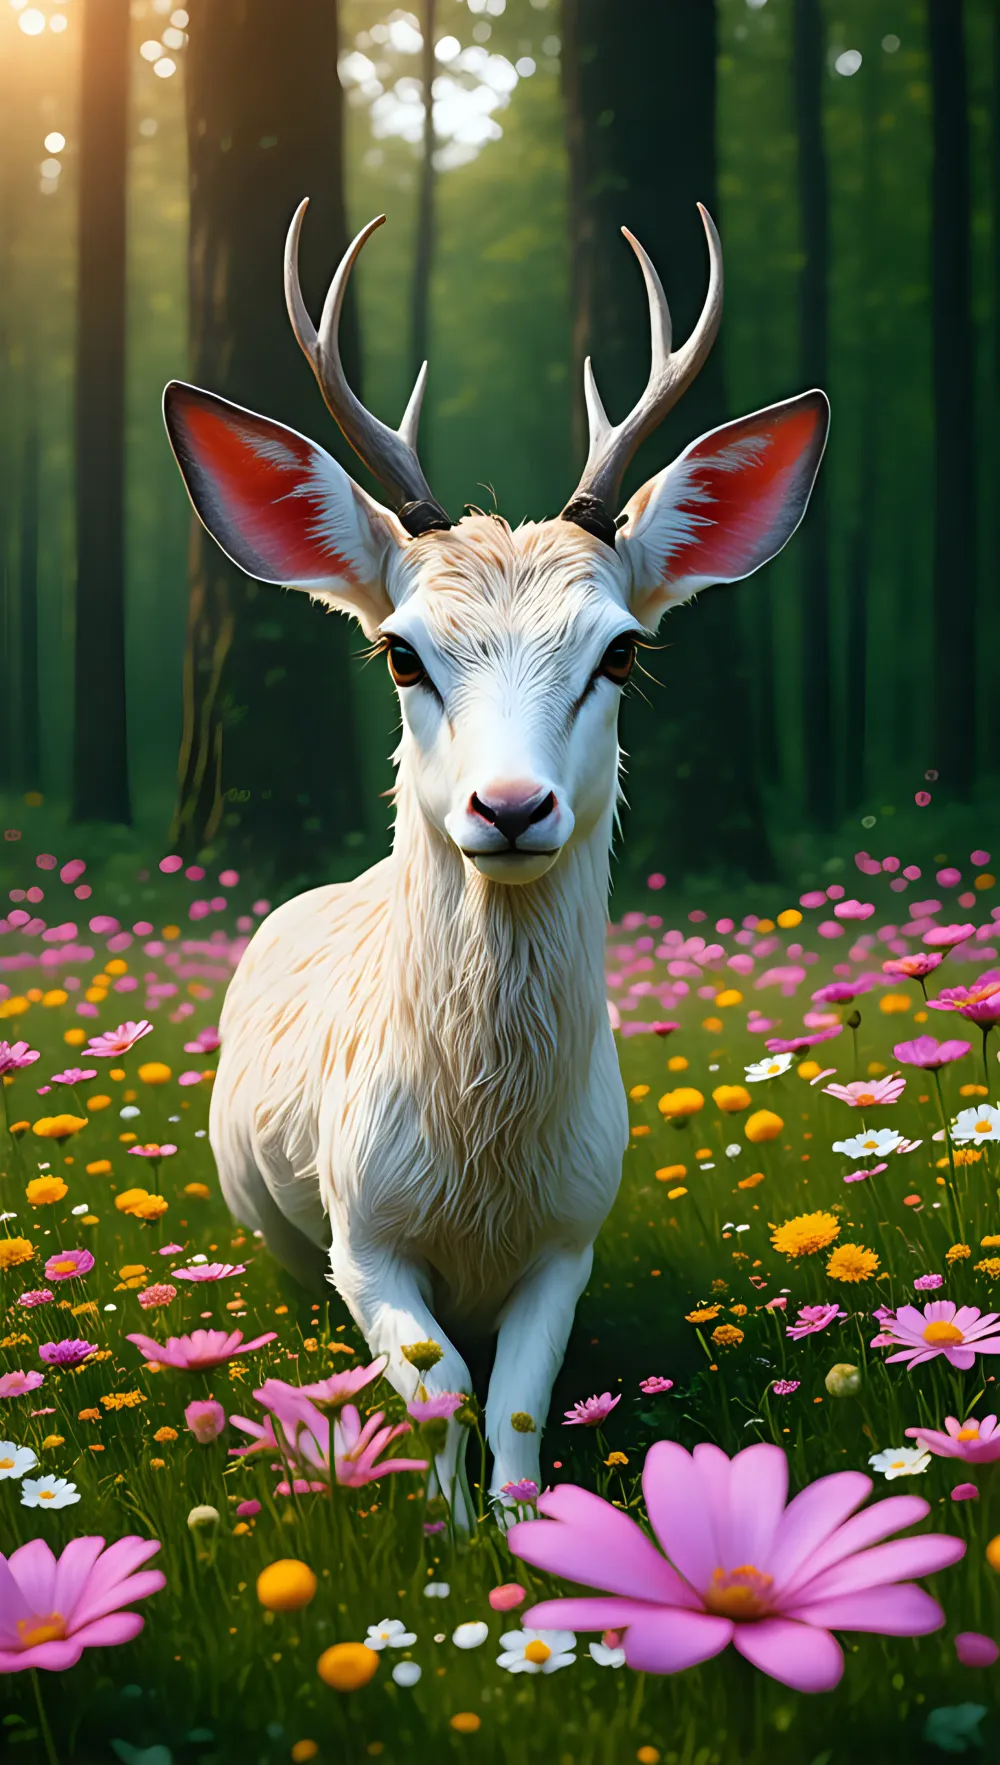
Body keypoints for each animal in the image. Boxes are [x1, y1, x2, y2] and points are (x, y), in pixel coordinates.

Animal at [163, 199, 828, 1524]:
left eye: (620, 652)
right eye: (399, 651)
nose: (510, 806)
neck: (483, 1162)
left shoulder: (573, 1230)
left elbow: (518, 1397)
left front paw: (529, 1530)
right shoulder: (361, 1226)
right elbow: (440, 1390)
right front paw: (443, 1523)